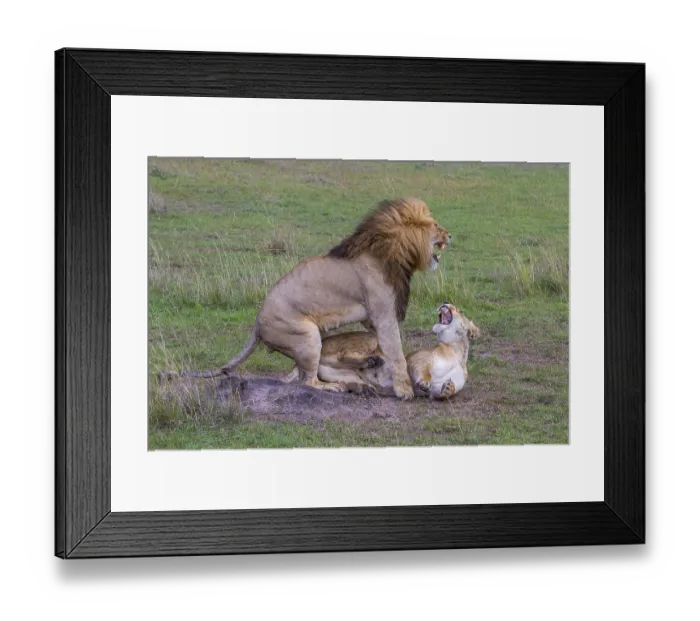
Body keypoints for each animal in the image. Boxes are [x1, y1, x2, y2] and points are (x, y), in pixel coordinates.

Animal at [175, 198, 451, 400]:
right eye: (436, 225)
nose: (451, 235)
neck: (393, 250)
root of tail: (256, 323)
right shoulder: (383, 313)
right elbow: (396, 352)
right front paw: (404, 390)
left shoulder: (372, 319)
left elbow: (385, 346)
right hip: (307, 337)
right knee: (306, 381)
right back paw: (336, 386)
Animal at [299, 302, 480, 400]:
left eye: (460, 311)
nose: (445, 302)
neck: (456, 351)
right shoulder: (416, 358)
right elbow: (423, 370)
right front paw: (423, 382)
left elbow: (444, 392)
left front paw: (448, 389)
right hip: (373, 339)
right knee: (343, 355)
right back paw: (372, 361)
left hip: (338, 373)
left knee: (342, 380)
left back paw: (361, 388)